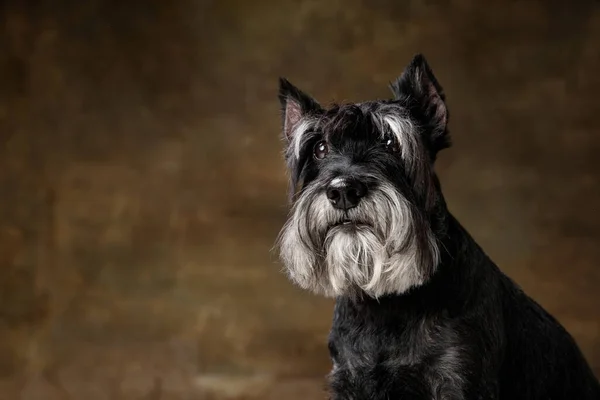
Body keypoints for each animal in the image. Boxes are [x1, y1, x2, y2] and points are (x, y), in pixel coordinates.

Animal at [274, 54, 596, 400]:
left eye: (390, 141)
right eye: (319, 148)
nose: (343, 190)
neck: (387, 303)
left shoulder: (456, 379)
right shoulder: (351, 379)